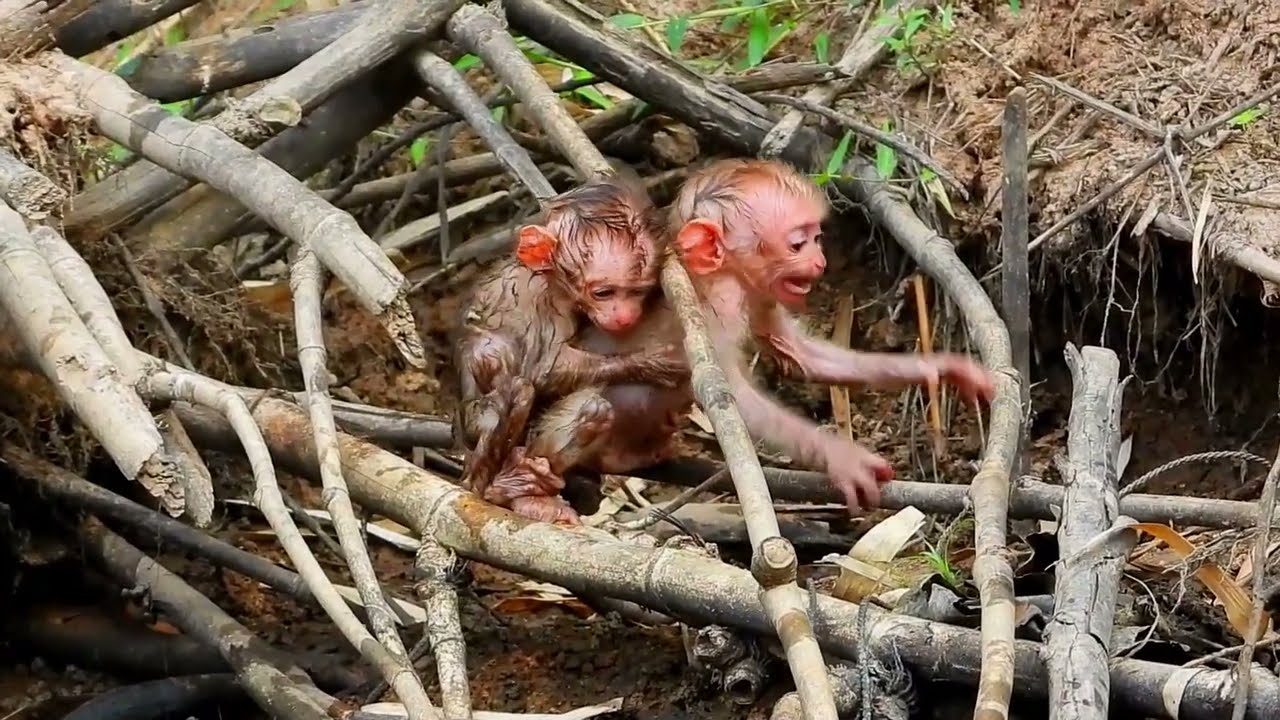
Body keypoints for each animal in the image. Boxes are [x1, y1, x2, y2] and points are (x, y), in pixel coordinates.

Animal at [452, 177, 688, 523]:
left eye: (638, 292)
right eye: (604, 292)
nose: (626, 316)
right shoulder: (541, 299)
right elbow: (544, 368)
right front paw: (654, 363)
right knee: (524, 387)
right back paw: (509, 488)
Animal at [485, 158, 996, 518]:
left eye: (816, 238)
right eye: (797, 242)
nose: (819, 261)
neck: (726, 278)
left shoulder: (762, 299)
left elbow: (803, 356)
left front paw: (944, 368)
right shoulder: (716, 309)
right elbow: (730, 397)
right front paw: (841, 458)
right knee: (587, 407)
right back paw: (523, 489)